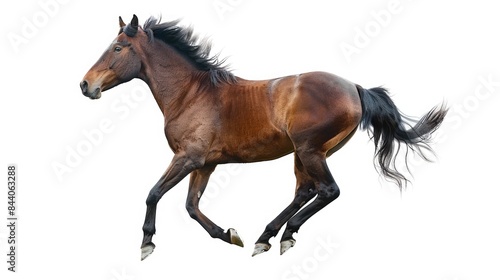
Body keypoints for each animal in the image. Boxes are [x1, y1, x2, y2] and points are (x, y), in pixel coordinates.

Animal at [80, 15, 448, 260]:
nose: (85, 85)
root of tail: (355, 88)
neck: (191, 94)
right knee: (305, 192)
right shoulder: (206, 164)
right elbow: (191, 206)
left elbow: (154, 193)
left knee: (328, 191)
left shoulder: (188, 157)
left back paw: (279, 236)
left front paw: (146, 244)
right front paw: (230, 236)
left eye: (118, 47)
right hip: (306, 154)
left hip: (309, 150)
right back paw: (269, 236)